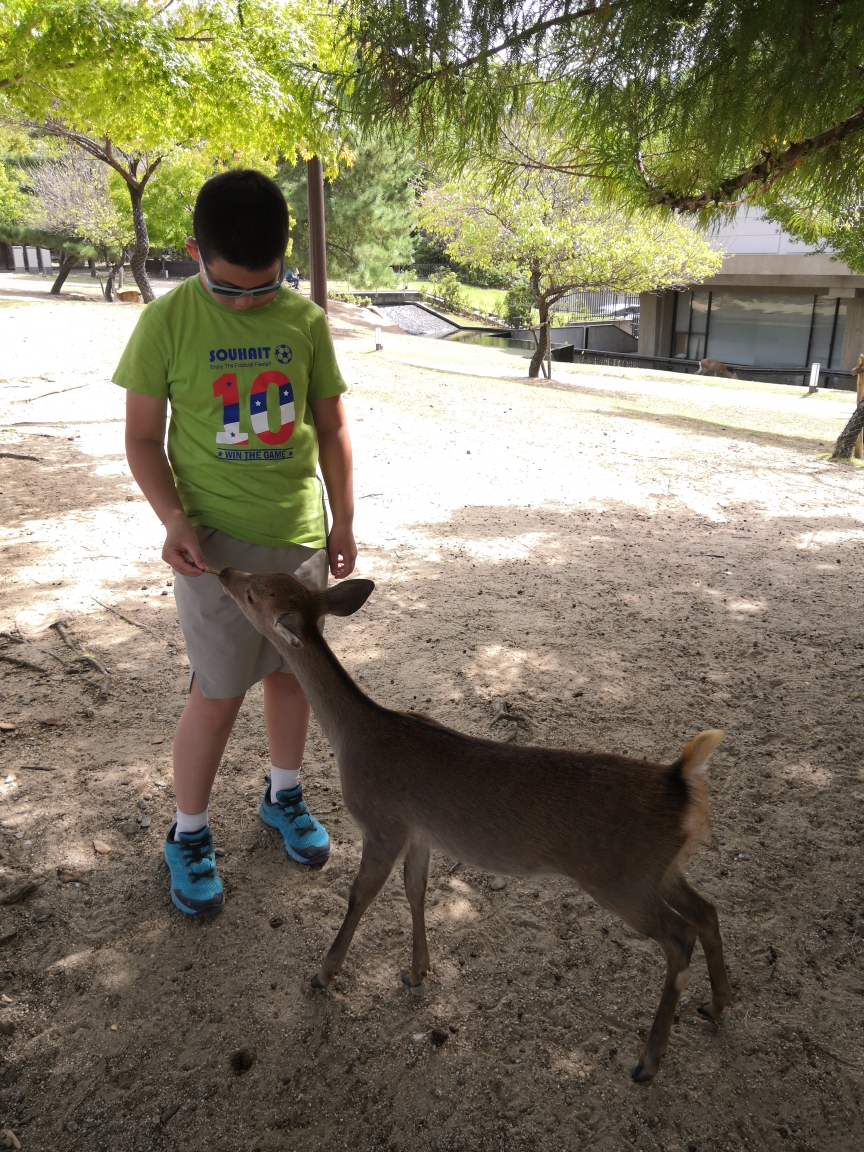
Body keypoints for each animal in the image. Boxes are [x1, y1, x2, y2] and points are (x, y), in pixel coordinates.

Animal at [215, 566, 732, 1078]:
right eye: (264, 577)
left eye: (253, 593)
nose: (223, 570)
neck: (353, 737)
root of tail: (681, 782)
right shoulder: (419, 832)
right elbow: (416, 890)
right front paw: (416, 972)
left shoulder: (381, 823)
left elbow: (360, 894)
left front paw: (323, 973)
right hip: (659, 870)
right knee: (707, 910)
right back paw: (717, 1005)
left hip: (620, 878)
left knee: (679, 936)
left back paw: (648, 1060)